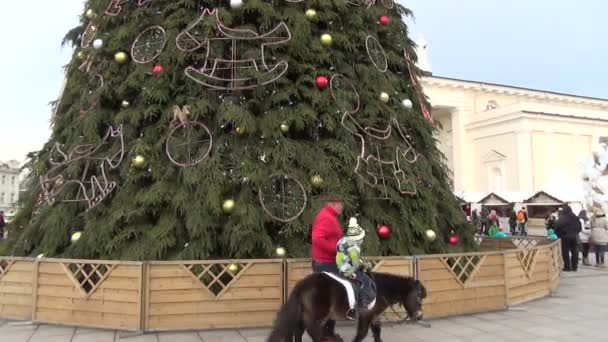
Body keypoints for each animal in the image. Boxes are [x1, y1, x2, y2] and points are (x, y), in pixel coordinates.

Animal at [266, 272, 428, 342]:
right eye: (417, 296)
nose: (419, 315)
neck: (380, 289)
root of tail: (303, 284)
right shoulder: (366, 316)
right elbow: (362, 334)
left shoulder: (374, 316)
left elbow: (377, 333)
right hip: (316, 316)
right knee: (313, 332)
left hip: (306, 313)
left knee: (298, 331)